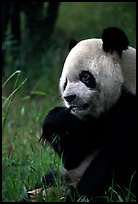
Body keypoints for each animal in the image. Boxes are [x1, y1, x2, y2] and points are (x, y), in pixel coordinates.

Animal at [40, 27, 136, 202]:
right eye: (65, 82)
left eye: (85, 76)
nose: (69, 98)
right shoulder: (91, 125)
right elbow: (74, 154)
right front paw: (56, 121)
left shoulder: (131, 109)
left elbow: (114, 160)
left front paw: (81, 196)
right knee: (49, 177)